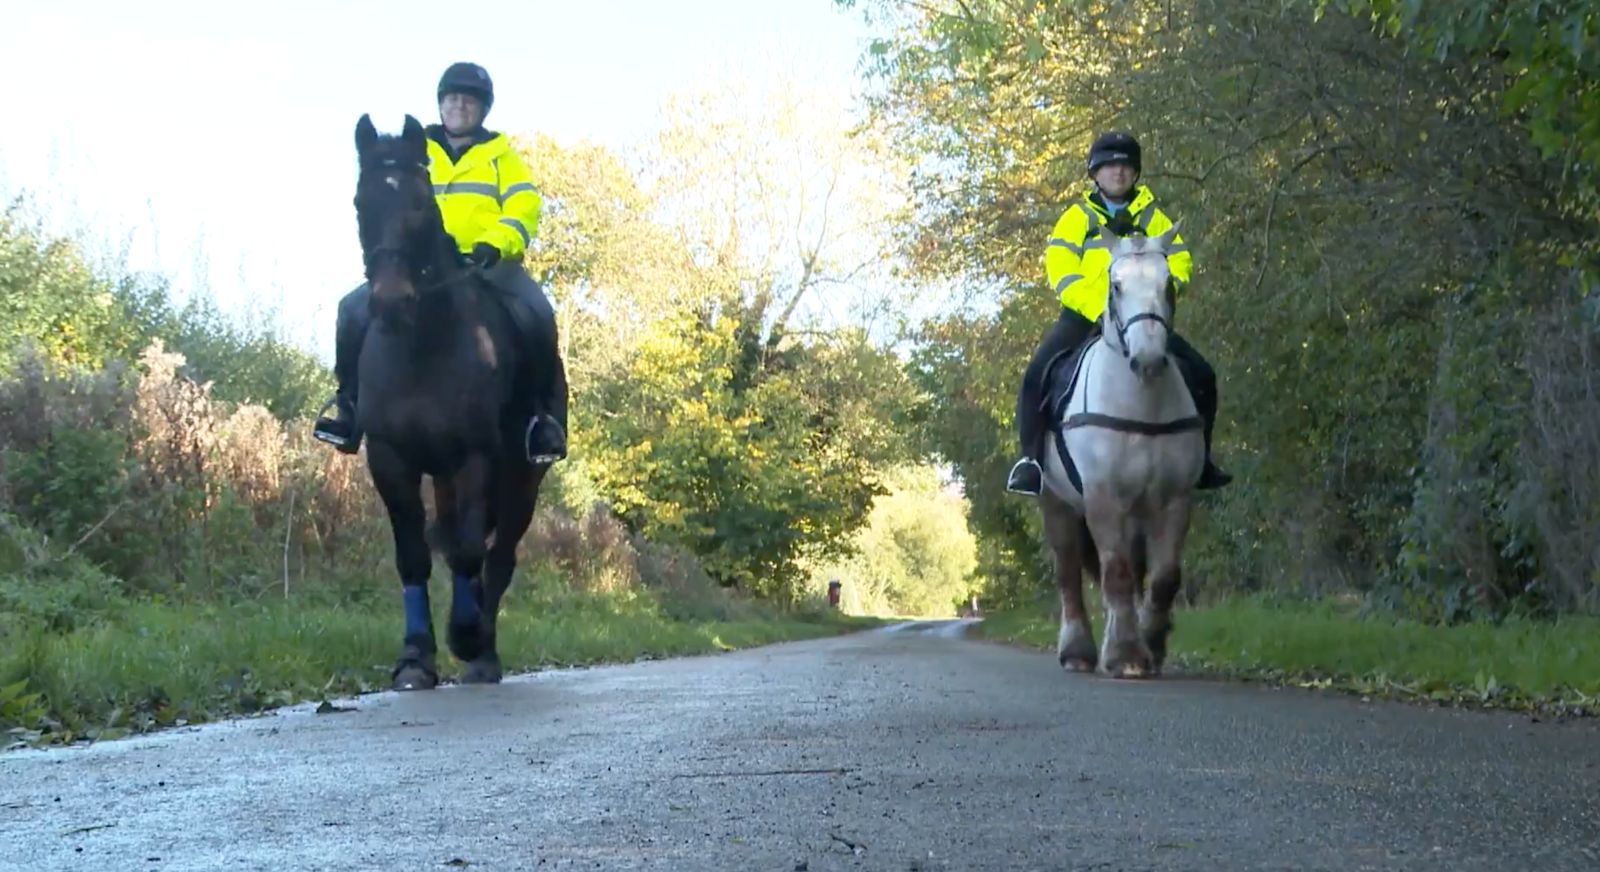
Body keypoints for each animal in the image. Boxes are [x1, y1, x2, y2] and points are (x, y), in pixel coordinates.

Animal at [350, 113, 554, 690]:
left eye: (421, 201)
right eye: (360, 202)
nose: (390, 303)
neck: (423, 346)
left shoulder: (476, 456)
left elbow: (469, 552)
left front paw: (465, 637)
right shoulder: (390, 458)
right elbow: (414, 557)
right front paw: (416, 656)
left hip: (523, 479)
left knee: (498, 558)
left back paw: (483, 649)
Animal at [1036, 225, 1205, 679]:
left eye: (1168, 284)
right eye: (1116, 286)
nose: (1147, 359)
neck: (1142, 404)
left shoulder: (1175, 499)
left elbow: (1162, 577)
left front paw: (1150, 645)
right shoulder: (1103, 497)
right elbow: (1115, 573)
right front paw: (1127, 656)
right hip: (1056, 503)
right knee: (1069, 574)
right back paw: (1077, 651)